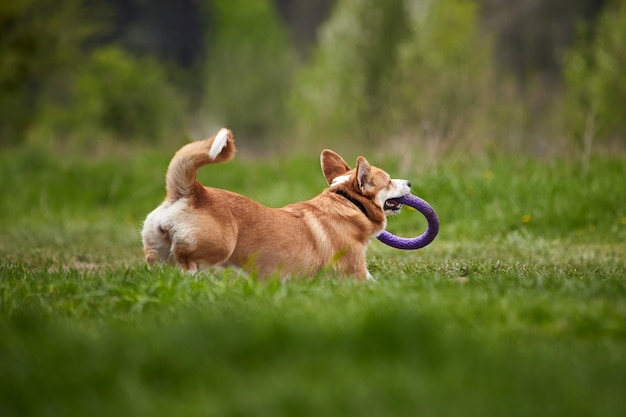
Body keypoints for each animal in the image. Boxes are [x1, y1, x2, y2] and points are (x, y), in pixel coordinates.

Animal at [141, 127, 410, 280]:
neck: (348, 202)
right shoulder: (357, 273)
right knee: (188, 262)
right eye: (388, 181)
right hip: (219, 247)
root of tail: (191, 190)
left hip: (157, 251)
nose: (409, 182)